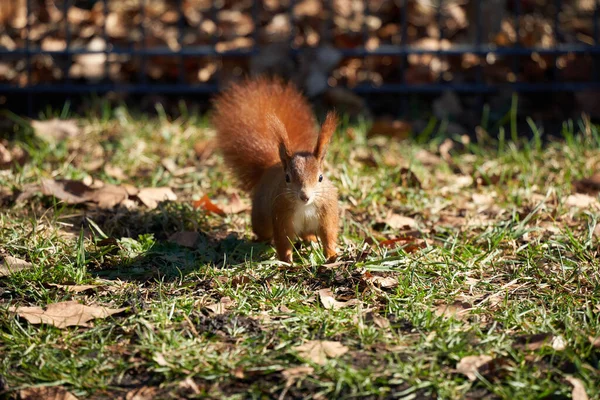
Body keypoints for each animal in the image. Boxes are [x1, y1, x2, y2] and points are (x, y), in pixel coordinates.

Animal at [211, 76, 340, 264]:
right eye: (287, 178)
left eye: (321, 178)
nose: (305, 196)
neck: (305, 206)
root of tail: (271, 167)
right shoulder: (281, 217)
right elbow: (283, 242)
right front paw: (287, 262)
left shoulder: (327, 214)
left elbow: (329, 237)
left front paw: (332, 256)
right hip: (261, 219)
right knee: (264, 233)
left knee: (307, 234)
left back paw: (311, 240)